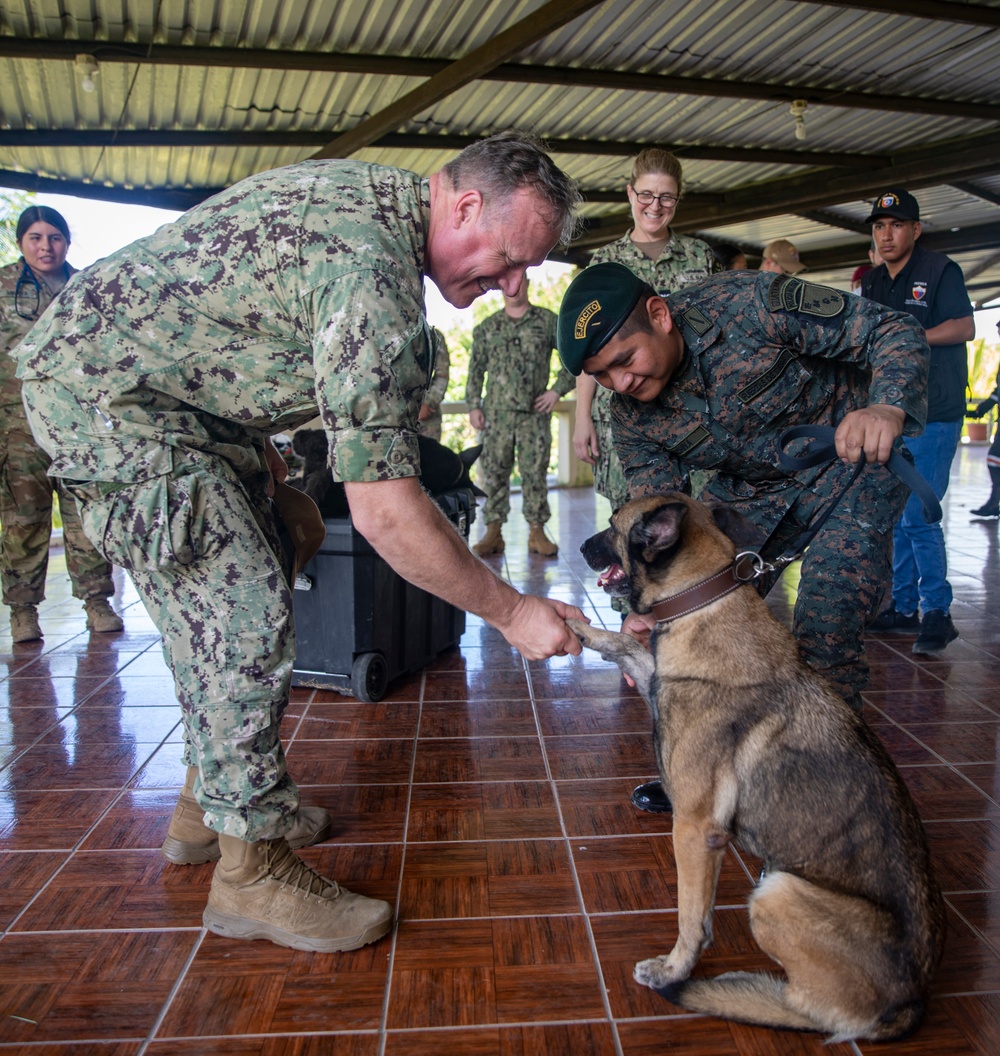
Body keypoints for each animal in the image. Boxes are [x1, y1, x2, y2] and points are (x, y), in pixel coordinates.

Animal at [570, 492, 946, 1039]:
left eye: (614, 524)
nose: (580, 546)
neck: (702, 600)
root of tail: (911, 1002)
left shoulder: (695, 829)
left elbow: (691, 916)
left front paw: (674, 968)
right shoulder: (659, 679)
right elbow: (628, 647)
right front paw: (575, 626)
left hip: (777, 895)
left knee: (812, 1010)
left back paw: (736, 993)